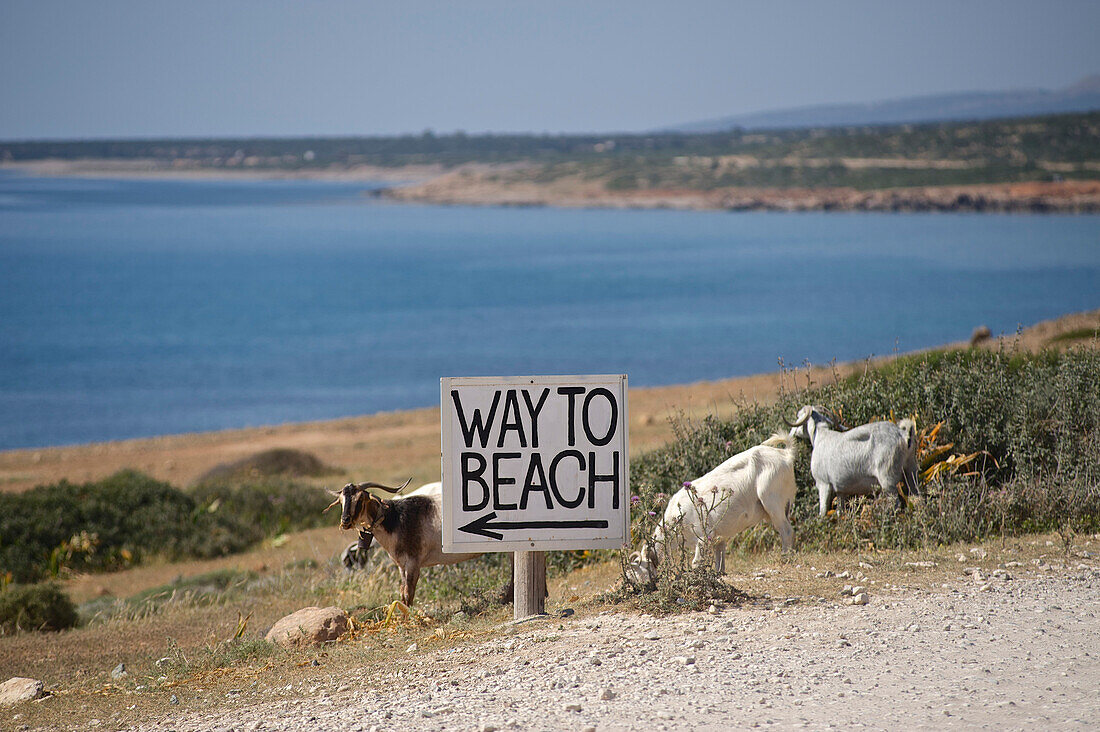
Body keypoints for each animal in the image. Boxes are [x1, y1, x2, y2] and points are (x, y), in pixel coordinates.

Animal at [629, 433, 800, 581]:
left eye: (636, 574)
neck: (676, 518)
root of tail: (786, 454)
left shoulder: (703, 536)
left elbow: (696, 562)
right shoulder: (719, 537)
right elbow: (720, 558)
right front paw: (719, 574)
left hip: (772, 501)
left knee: (786, 530)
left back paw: (785, 558)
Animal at [783, 402, 919, 517]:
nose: (795, 434)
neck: (820, 437)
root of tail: (903, 435)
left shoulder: (823, 484)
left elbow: (822, 513)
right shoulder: (840, 491)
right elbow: (840, 511)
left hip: (888, 478)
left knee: (896, 503)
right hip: (910, 469)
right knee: (916, 494)